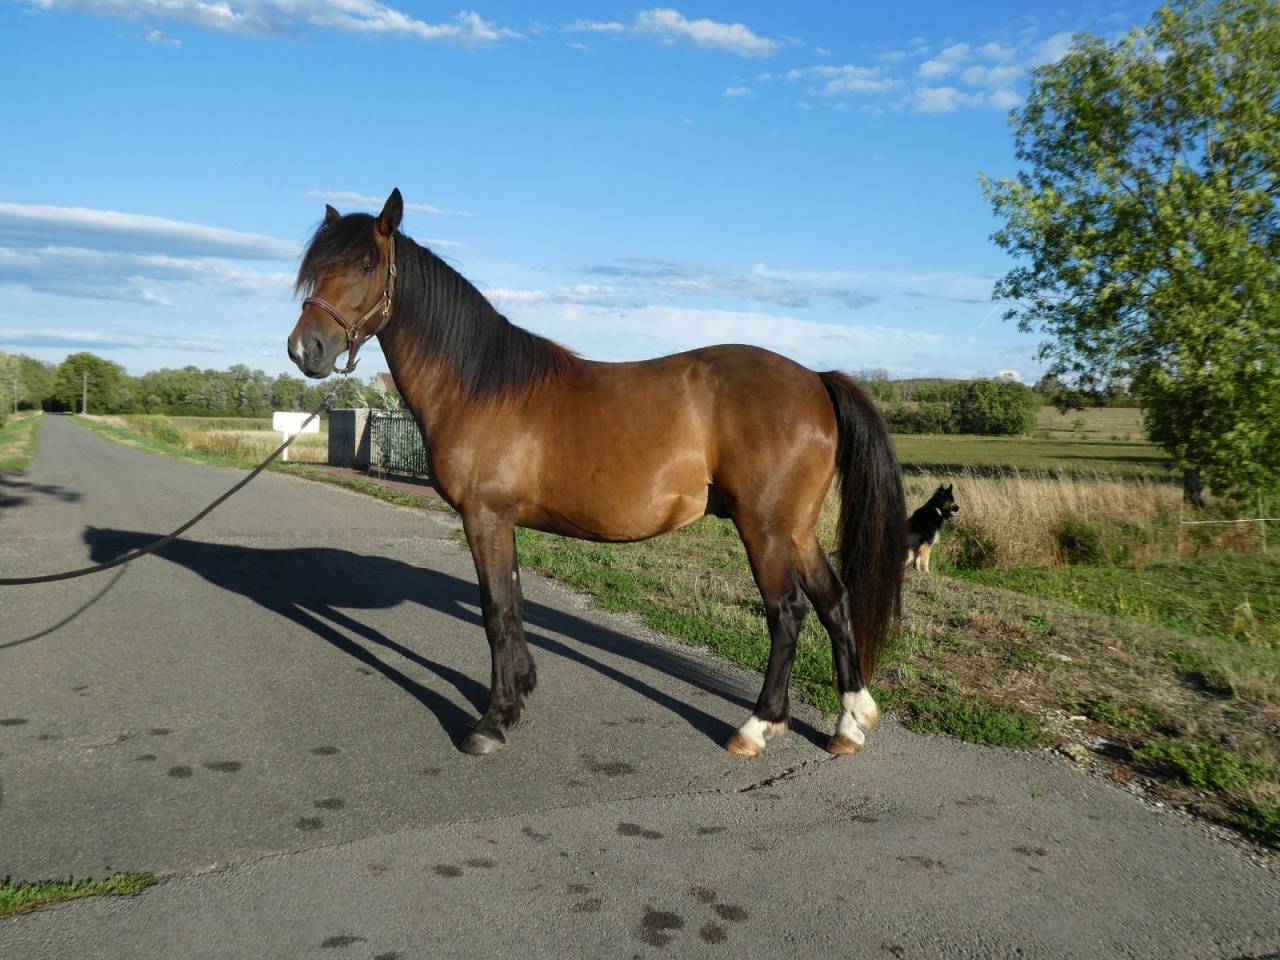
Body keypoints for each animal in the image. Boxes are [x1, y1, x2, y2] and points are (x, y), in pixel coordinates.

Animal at [287, 189, 906, 758]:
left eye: (365, 266)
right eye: (316, 268)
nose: (304, 348)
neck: (480, 384)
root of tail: (815, 379)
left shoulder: (485, 517)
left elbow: (495, 612)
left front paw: (493, 721)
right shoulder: (502, 521)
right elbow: (513, 604)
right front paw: (521, 692)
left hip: (765, 530)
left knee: (787, 612)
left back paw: (758, 726)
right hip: (795, 530)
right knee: (834, 603)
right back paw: (849, 723)